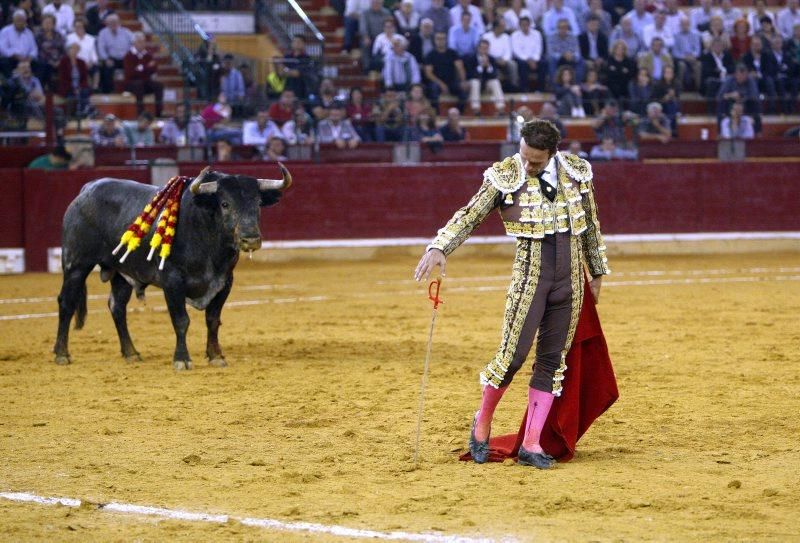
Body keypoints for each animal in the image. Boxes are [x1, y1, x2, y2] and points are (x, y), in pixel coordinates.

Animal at [53, 166, 292, 370]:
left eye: (257, 203)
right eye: (225, 204)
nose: (250, 239)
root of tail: (86, 190)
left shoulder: (224, 282)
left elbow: (213, 320)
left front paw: (216, 356)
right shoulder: (172, 281)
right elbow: (181, 320)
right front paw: (182, 359)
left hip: (122, 273)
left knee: (117, 306)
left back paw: (131, 353)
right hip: (76, 264)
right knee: (66, 302)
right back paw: (62, 354)